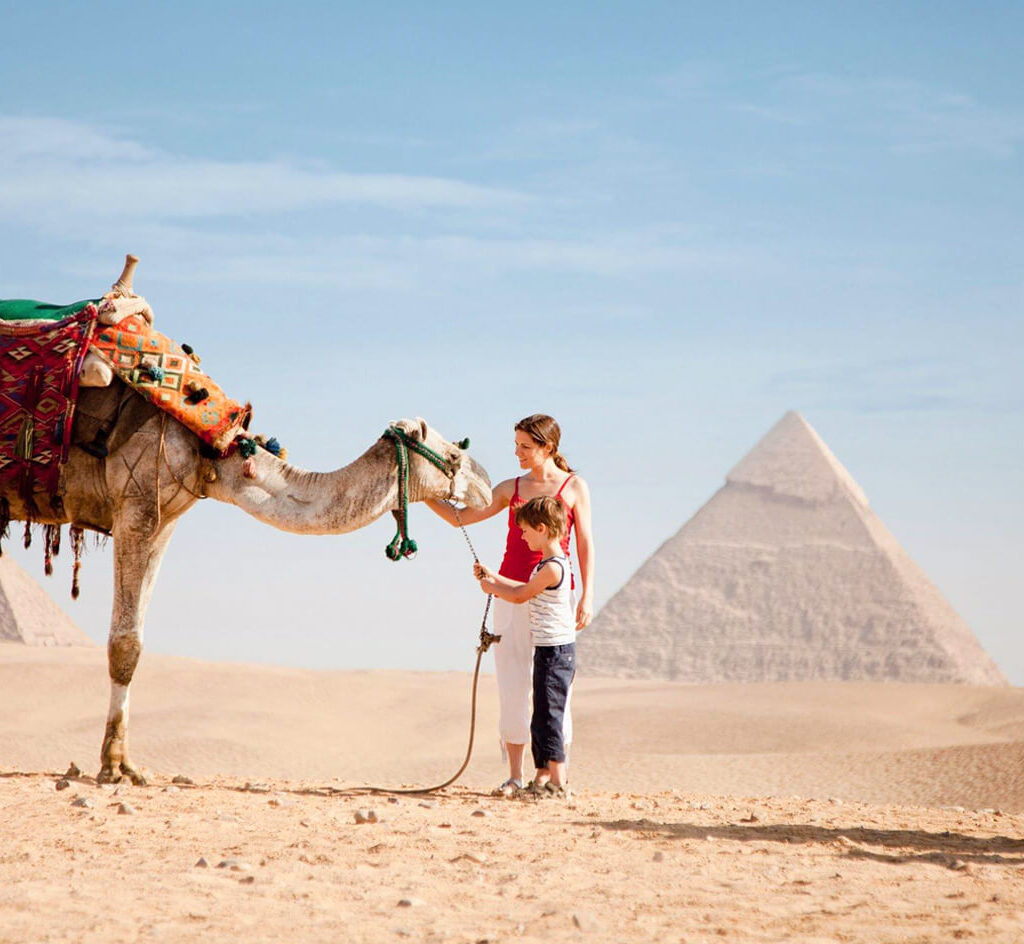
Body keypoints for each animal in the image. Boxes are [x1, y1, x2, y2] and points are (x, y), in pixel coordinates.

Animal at [1, 334, 492, 785]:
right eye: (454, 454)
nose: (487, 484)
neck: (213, 453)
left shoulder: (163, 520)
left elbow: (136, 637)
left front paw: (126, 763)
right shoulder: (135, 505)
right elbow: (125, 644)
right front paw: (114, 766)